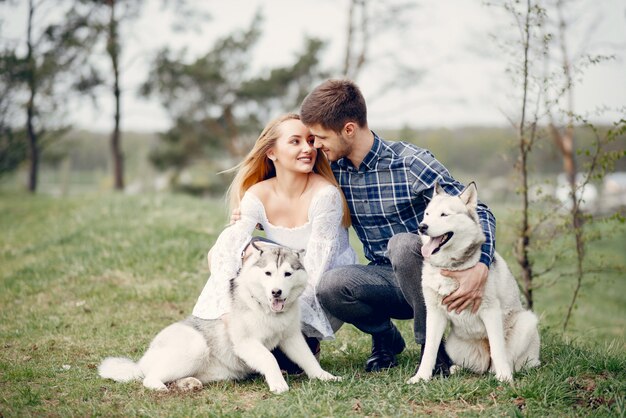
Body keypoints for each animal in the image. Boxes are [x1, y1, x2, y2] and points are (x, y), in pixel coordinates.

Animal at [99, 243, 338, 394]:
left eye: (288, 274)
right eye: (268, 273)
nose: (276, 292)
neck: (266, 310)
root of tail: (141, 362)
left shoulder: (291, 338)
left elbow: (308, 359)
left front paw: (324, 376)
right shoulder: (246, 343)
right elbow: (269, 358)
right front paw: (278, 384)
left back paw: (188, 384)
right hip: (196, 347)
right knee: (149, 378)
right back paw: (159, 386)